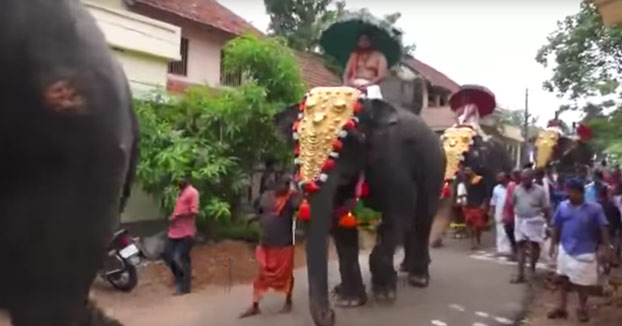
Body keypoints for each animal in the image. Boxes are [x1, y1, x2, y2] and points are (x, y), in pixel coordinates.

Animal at [276, 86, 446, 326]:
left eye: (352, 140)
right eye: (295, 141)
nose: (331, 316)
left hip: (435, 170)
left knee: (422, 218)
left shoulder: (393, 165)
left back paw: (418, 278)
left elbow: (399, 215)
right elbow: (341, 228)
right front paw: (350, 300)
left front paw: (385, 294)